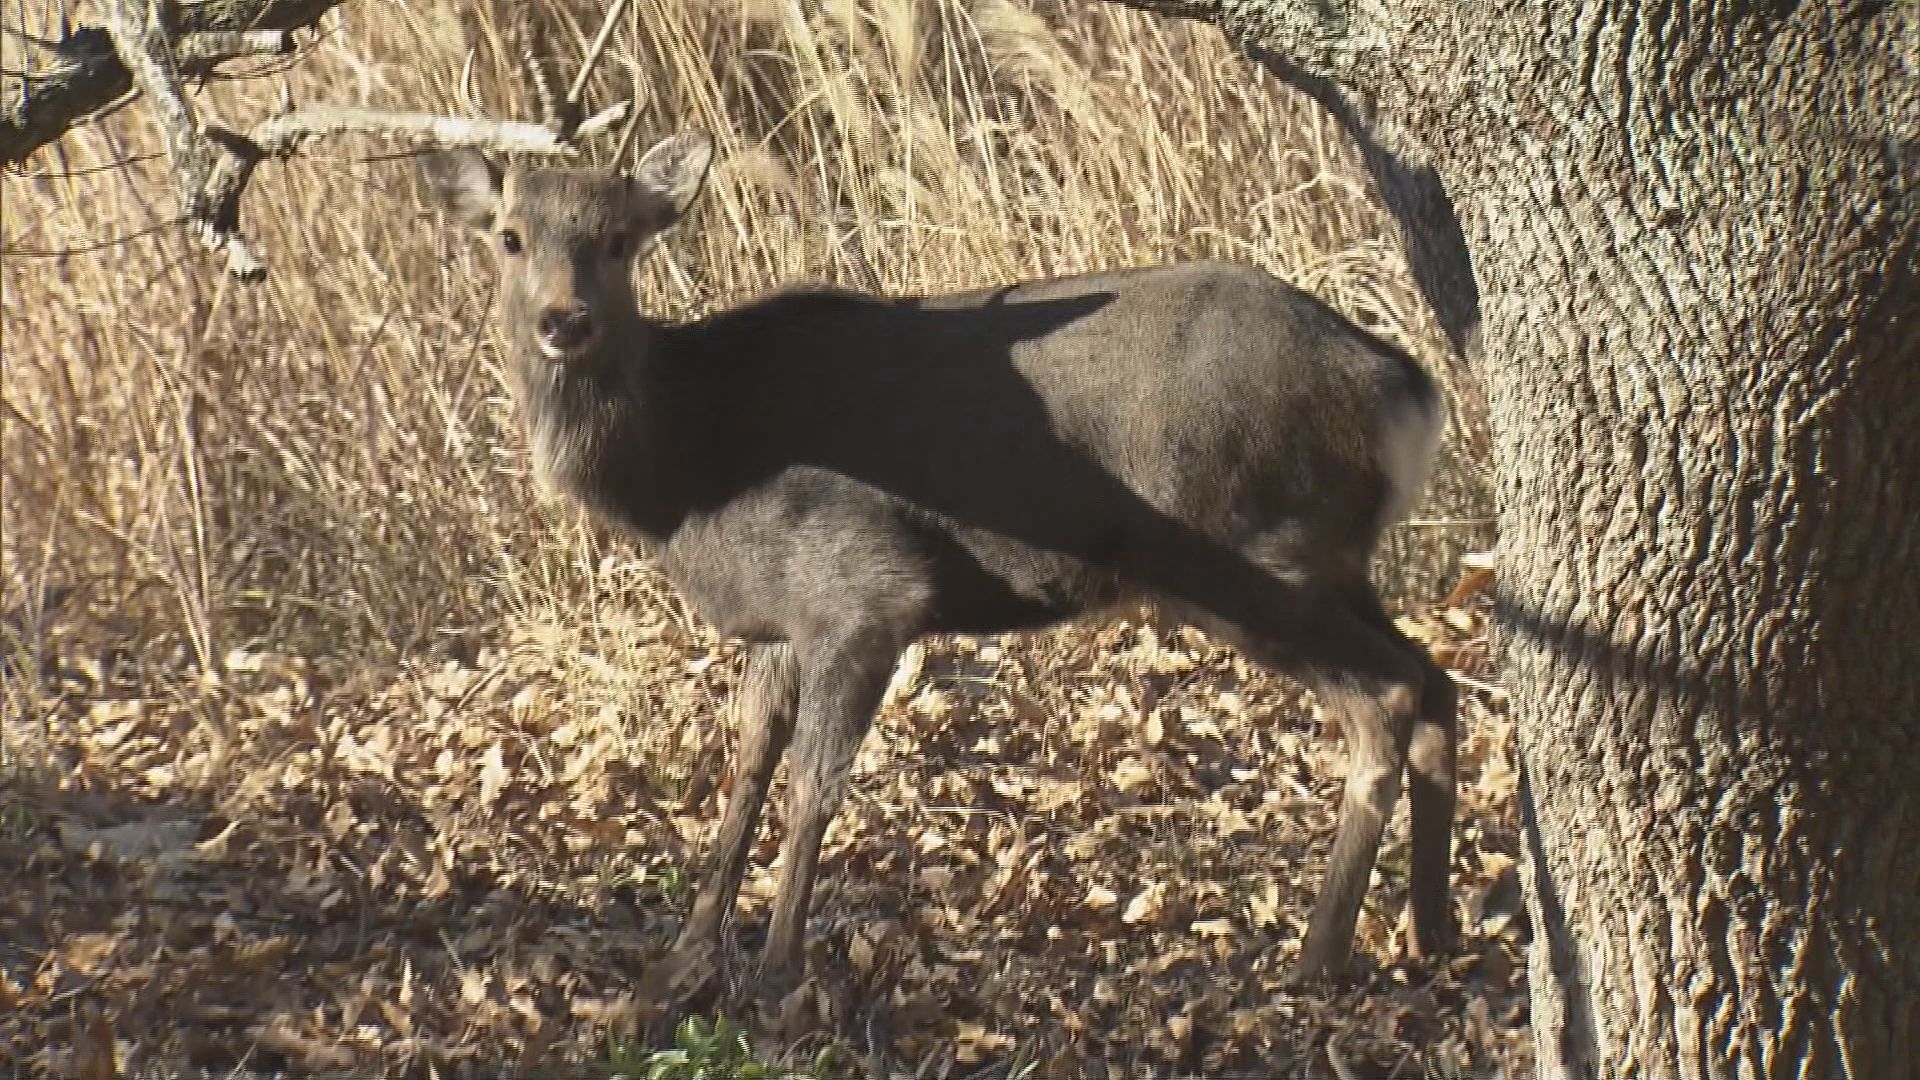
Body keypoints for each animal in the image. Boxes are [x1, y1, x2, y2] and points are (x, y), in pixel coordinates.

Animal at [424, 134, 1451, 999]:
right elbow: (748, 766)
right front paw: (684, 957)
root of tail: (1403, 386)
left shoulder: (864, 591)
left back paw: (1320, 955)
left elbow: (816, 783)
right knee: (1437, 683)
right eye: (510, 237)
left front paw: (778, 971)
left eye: (617, 239)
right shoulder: (778, 619)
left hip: (1245, 553)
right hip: (1328, 557)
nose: (563, 321)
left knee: (1388, 698)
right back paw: (1424, 933)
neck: (686, 474)